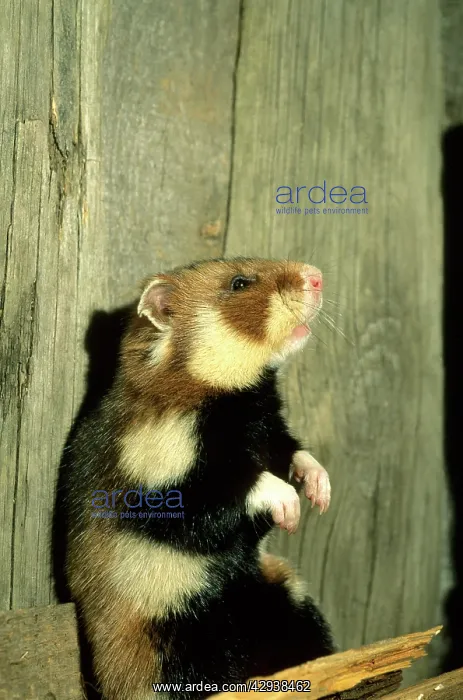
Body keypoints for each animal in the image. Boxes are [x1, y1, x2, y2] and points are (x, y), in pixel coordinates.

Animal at [65, 257, 335, 700]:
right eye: (239, 283)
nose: (317, 275)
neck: (242, 403)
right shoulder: (167, 488)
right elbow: (242, 487)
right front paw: (291, 510)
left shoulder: (271, 431)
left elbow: (297, 454)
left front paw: (320, 492)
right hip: (175, 646)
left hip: (289, 600)